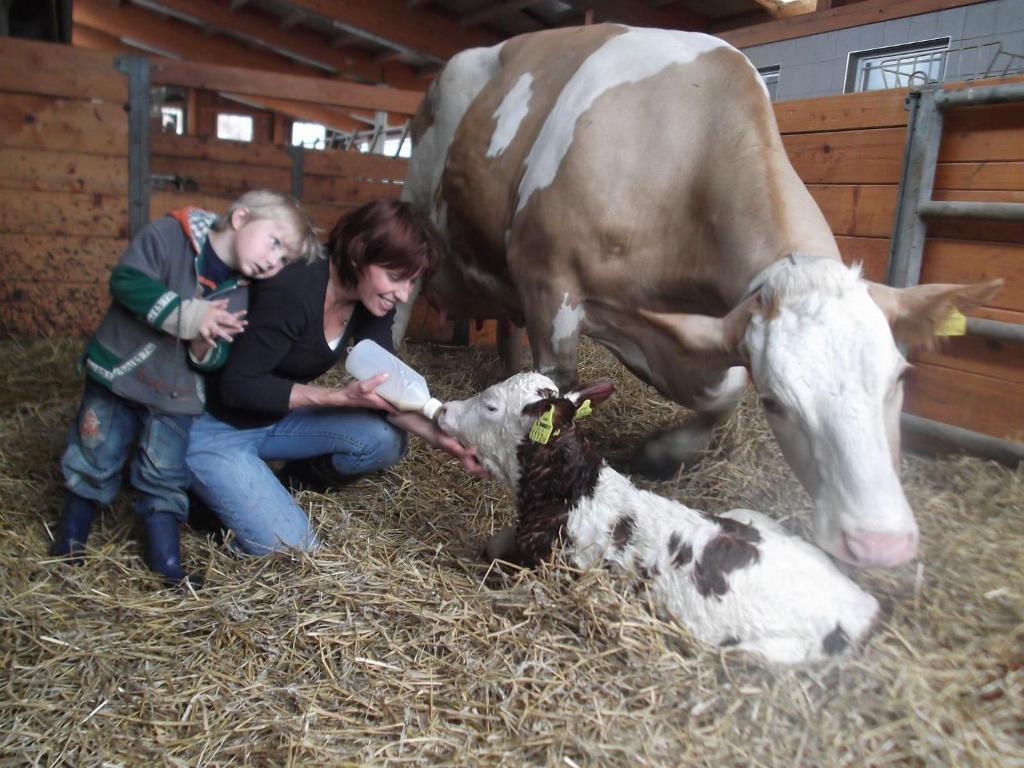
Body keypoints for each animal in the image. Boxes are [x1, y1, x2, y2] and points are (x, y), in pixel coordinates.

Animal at [397, 24, 999, 569]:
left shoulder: (699, 328)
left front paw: (660, 452)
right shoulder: (551, 281)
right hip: (420, 206)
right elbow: (559, 381)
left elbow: (724, 393)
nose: (879, 544)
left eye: (899, 378)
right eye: (777, 403)